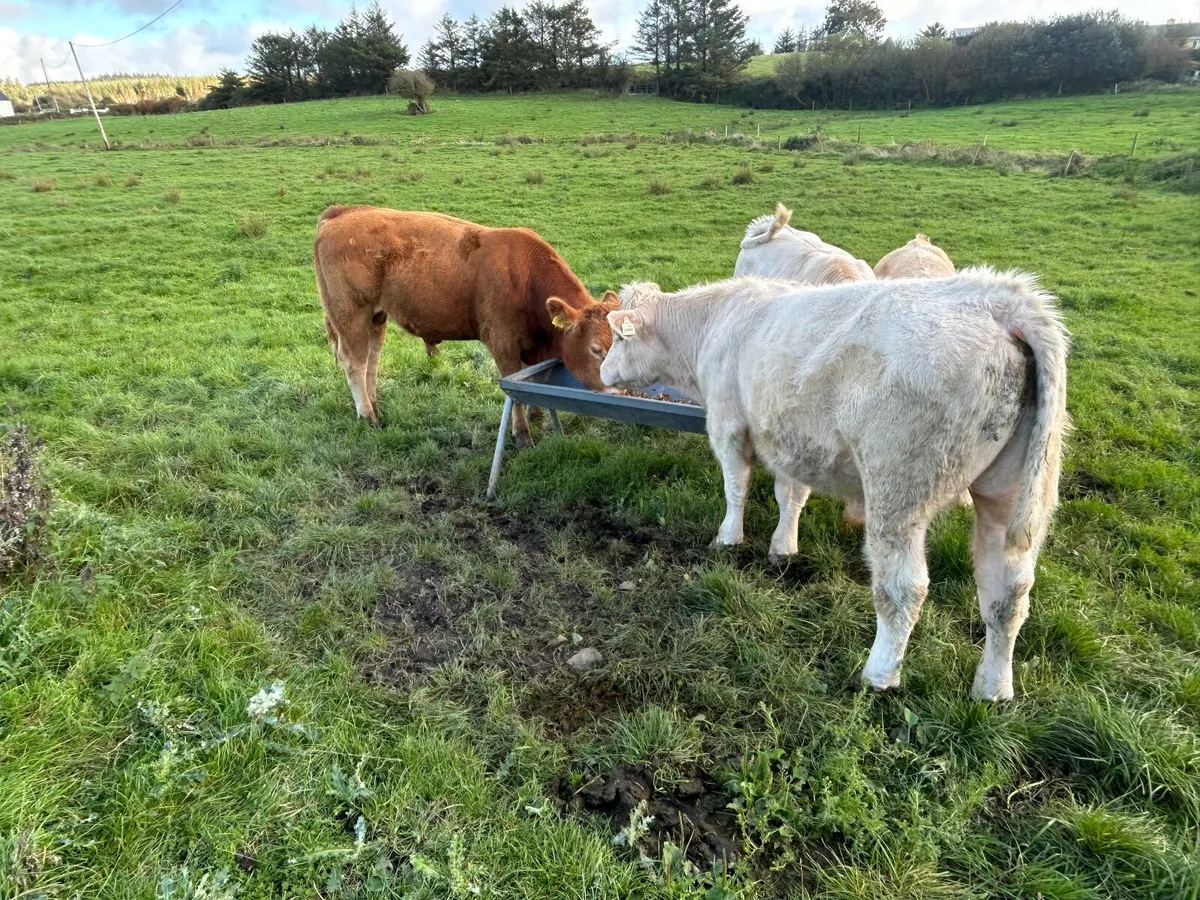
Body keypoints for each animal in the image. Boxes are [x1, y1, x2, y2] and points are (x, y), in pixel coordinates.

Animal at [314, 206, 618, 446]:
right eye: (595, 349)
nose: (623, 390)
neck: (524, 278)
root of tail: (344, 211)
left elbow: (530, 380)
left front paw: (538, 416)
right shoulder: (502, 343)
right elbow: (514, 393)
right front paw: (522, 434)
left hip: (376, 317)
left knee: (372, 359)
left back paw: (375, 406)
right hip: (350, 312)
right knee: (355, 362)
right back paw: (368, 416)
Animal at [600, 270, 1069, 701]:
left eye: (618, 338)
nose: (603, 372)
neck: (714, 323)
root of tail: (999, 298)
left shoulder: (727, 424)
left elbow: (736, 486)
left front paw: (728, 539)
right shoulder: (790, 438)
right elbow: (790, 495)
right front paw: (783, 548)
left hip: (899, 488)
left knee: (905, 588)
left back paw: (879, 675)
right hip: (1007, 494)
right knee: (1007, 592)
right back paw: (993, 688)